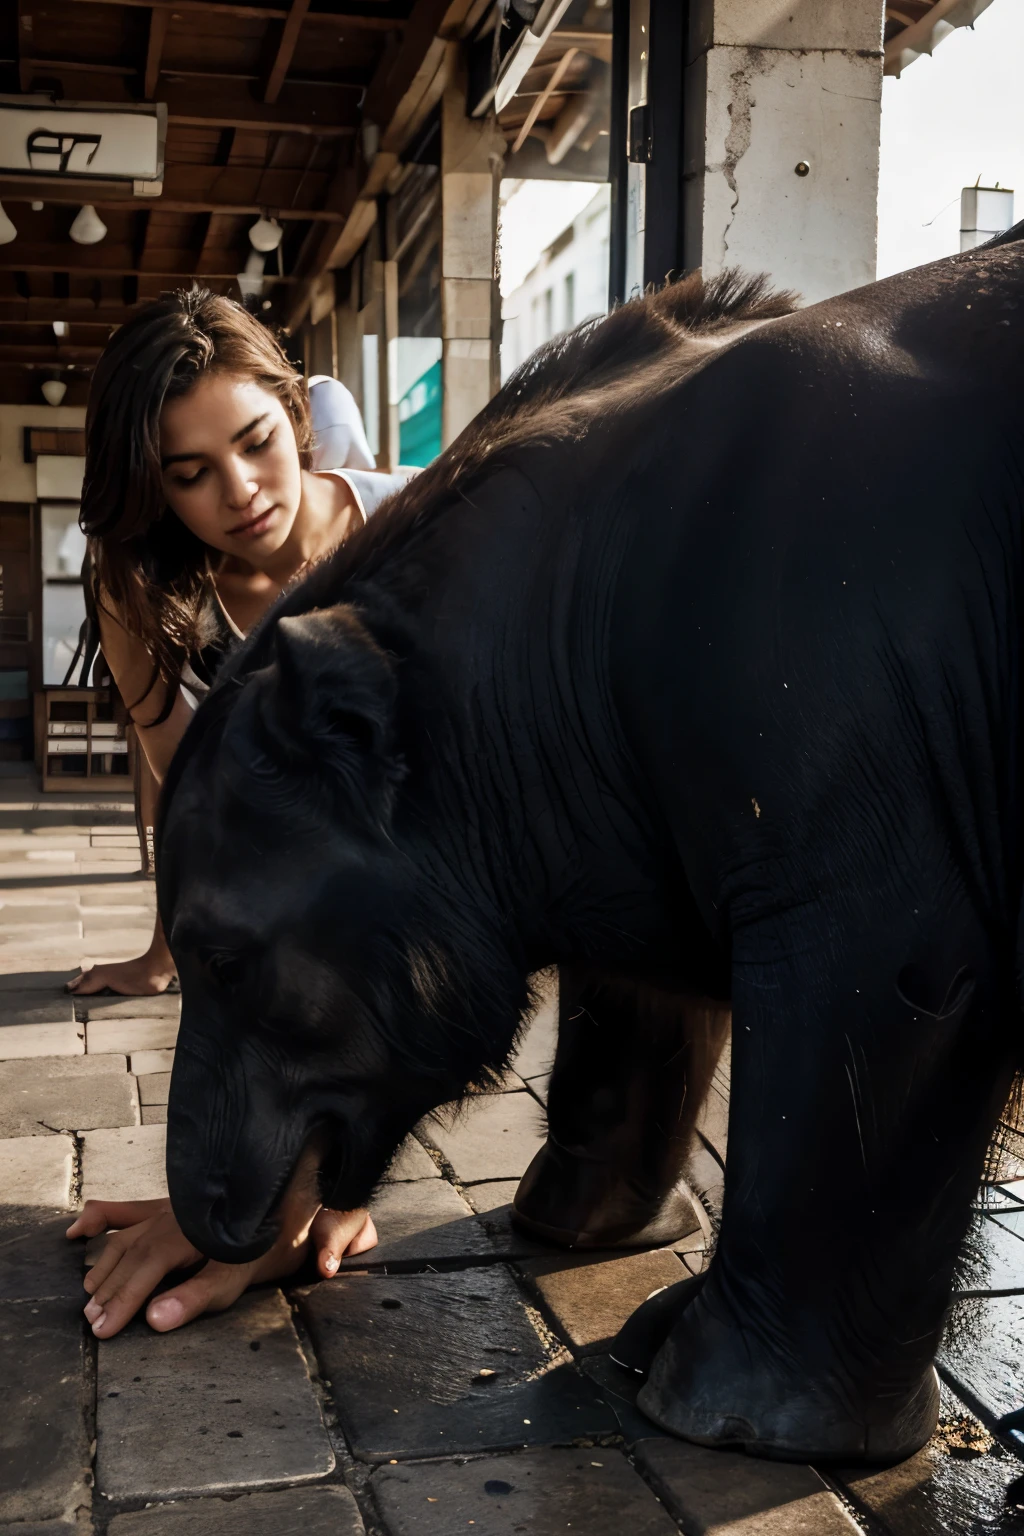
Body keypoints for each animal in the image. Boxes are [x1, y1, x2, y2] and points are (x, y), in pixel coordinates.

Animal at [156, 230, 1024, 1462]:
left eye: (222, 960)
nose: (206, 1226)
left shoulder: (861, 768)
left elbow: (879, 1003)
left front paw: (724, 1418)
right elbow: (636, 994)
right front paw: (568, 1233)